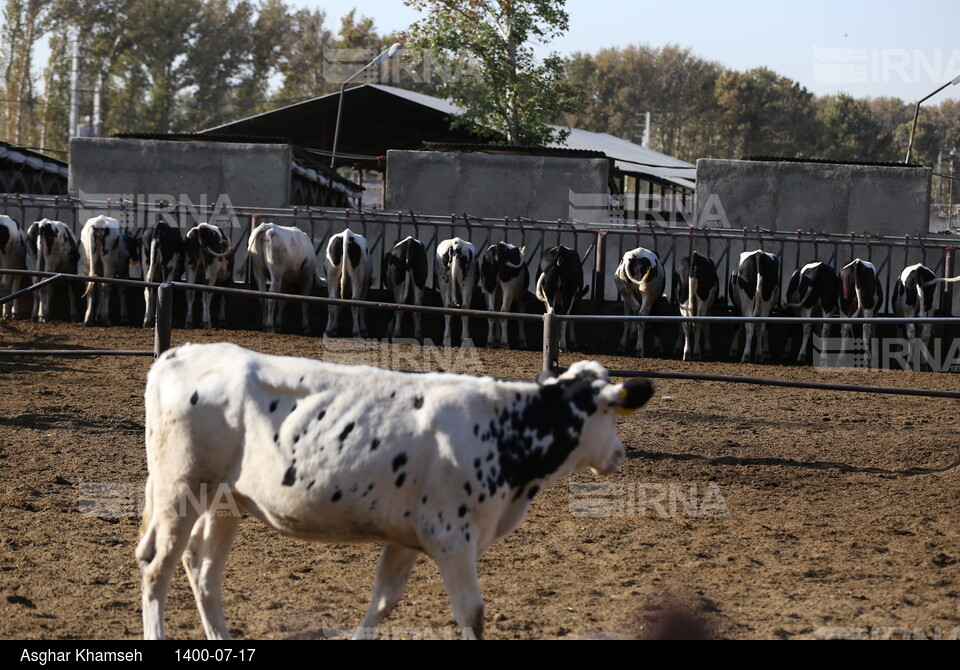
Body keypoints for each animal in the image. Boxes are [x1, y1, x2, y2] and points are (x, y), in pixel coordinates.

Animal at [139, 344, 656, 644]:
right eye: (611, 414)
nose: (621, 453)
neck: (503, 429)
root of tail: (178, 353)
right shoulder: (452, 537)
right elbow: (471, 613)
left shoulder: (407, 537)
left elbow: (383, 601)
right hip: (179, 491)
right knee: (158, 569)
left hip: (225, 503)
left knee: (203, 571)